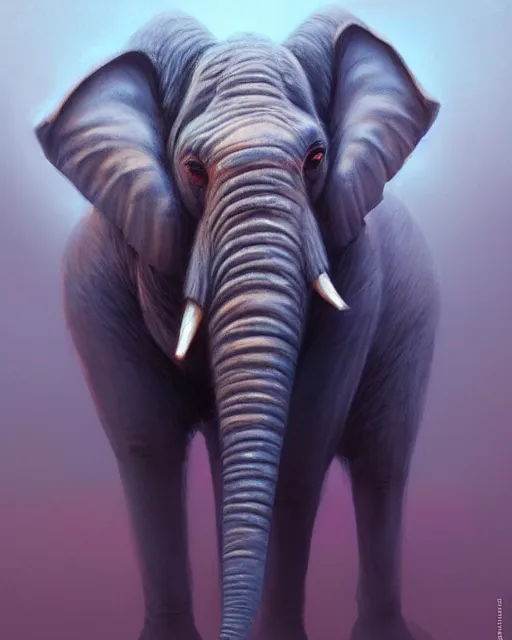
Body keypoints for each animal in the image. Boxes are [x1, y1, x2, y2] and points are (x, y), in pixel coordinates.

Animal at [34, 5, 441, 640]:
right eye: (193, 169)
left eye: (316, 158)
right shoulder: (93, 288)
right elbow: (147, 445)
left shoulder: (360, 279)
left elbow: (300, 449)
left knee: (383, 464)